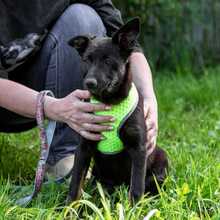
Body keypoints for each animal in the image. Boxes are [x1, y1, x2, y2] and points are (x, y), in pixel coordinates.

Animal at [68, 18, 168, 204]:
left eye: (108, 61)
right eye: (86, 60)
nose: (89, 83)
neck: (110, 103)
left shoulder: (139, 148)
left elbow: (136, 186)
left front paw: (134, 208)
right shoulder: (84, 146)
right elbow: (75, 184)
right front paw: (67, 208)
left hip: (162, 161)